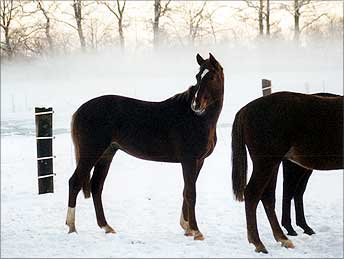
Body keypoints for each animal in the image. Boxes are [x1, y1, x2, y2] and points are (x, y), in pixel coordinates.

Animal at [65, 53, 224, 242]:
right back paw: (71, 227)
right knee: (74, 182)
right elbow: (191, 193)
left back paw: (106, 227)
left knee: (97, 186)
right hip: (91, 153)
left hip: (106, 154)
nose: (196, 105)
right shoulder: (189, 161)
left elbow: (186, 190)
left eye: (211, 77)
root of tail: (80, 111)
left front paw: (186, 227)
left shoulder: (198, 161)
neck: (197, 119)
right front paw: (196, 231)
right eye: (198, 77)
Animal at [232, 92, 342, 254]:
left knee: (268, 197)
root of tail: (246, 109)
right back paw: (259, 243)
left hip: (274, 164)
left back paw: (282, 238)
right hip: (266, 164)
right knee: (252, 194)